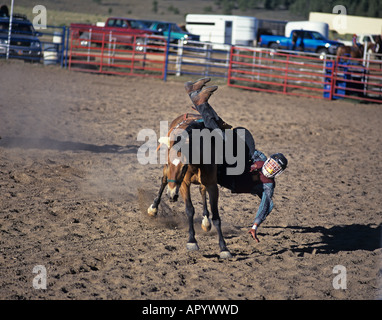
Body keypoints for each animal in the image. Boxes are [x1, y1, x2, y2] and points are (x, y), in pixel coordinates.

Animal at [148, 114, 233, 258]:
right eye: (169, 164)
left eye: (184, 167)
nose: (171, 195)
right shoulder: (183, 184)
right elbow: (189, 210)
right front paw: (192, 241)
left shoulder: (212, 185)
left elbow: (216, 216)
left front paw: (224, 248)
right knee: (164, 181)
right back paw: (153, 208)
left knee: (202, 191)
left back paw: (206, 221)